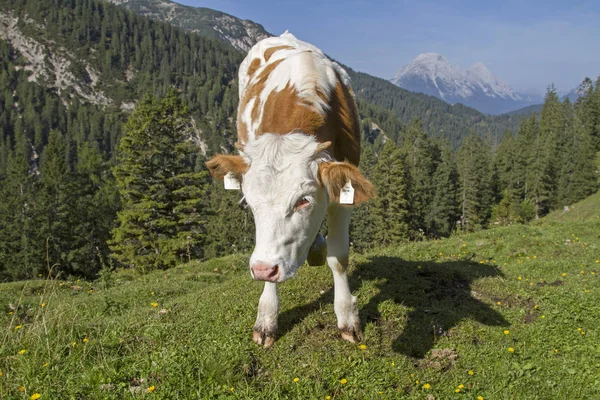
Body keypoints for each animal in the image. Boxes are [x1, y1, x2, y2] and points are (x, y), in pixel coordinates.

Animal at [207, 32, 376, 346]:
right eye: (248, 204)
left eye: (303, 201)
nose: (263, 268)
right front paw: (266, 320)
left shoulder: (342, 196)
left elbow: (339, 258)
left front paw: (347, 318)